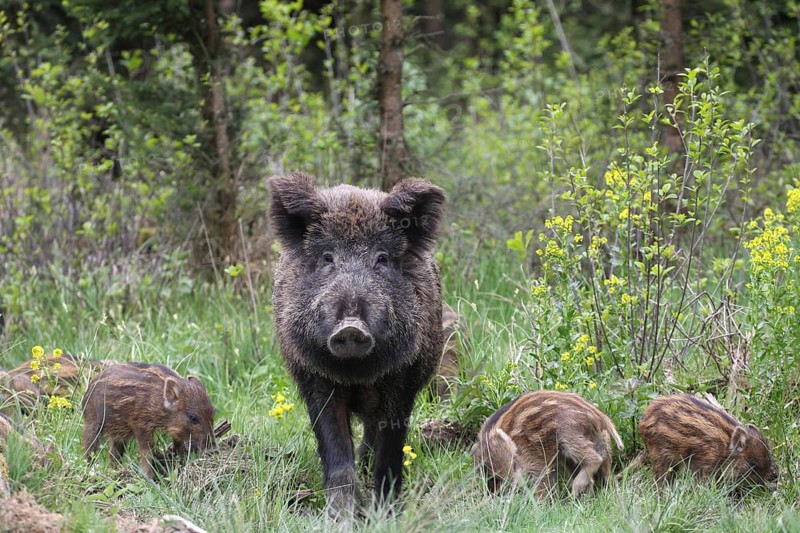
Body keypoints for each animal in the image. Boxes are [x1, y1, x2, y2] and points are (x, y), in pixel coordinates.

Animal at [81, 362, 215, 478]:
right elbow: (148, 448)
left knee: (114, 453)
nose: (213, 448)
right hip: (93, 421)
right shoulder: (139, 423)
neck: (160, 403)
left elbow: (179, 444)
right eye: (193, 417)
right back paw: (88, 469)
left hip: (119, 433)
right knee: (89, 447)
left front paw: (179, 466)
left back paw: (114, 470)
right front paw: (149, 477)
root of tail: (87, 392)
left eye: (213, 413)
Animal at [268, 173, 445, 520]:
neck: (357, 373)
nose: (351, 326)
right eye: (327, 258)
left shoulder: (402, 378)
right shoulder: (314, 377)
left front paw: (384, 513)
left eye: (381, 258)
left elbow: (390, 445)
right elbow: (335, 446)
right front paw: (341, 515)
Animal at [472, 390, 623, 498]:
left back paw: (576, 489)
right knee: (602, 473)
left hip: (569, 434)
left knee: (593, 458)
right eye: (496, 475)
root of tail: (598, 416)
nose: (519, 486)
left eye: (514, 464)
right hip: (596, 445)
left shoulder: (535, 457)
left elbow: (542, 481)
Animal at [639, 394, 778, 488]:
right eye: (752, 465)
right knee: (661, 478)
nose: (762, 488)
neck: (725, 447)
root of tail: (643, 419)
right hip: (659, 454)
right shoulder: (705, 463)